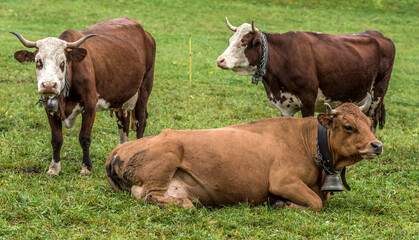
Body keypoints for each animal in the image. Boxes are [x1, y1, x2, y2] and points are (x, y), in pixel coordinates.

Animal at [11, 16, 156, 174]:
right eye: (38, 62)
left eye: (63, 62)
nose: (49, 85)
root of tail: (146, 34)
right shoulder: (49, 107)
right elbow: (56, 139)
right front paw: (54, 168)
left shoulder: (90, 104)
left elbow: (84, 138)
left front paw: (86, 167)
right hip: (121, 98)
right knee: (123, 122)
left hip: (144, 88)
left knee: (141, 120)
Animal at [105, 97, 384, 210]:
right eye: (348, 126)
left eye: (368, 124)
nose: (377, 145)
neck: (308, 141)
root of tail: (119, 148)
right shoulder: (282, 181)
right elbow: (315, 203)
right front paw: (282, 204)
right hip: (168, 155)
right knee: (149, 196)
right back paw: (186, 203)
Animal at [217, 17, 398, 132]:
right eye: (230, 41)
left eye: (244, 43)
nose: (220, 60)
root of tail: (378, 34)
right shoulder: (285, 104)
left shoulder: (308, 99)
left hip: (378, 94)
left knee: (373, 120)